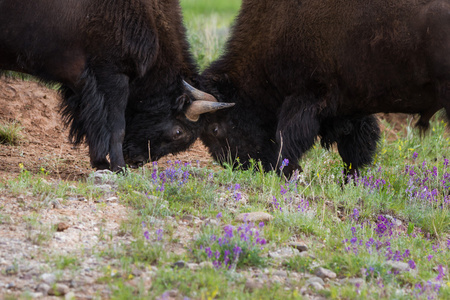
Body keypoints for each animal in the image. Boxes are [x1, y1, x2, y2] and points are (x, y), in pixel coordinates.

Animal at [0, 0, 232, 171]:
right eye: (178, 131)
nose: (136, 161)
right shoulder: (114, 77)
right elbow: (116, 126)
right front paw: (118, 168)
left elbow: (93, 123)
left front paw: (101, 163)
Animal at [200, 0, 450, 177]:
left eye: (215, 128)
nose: (238, 167)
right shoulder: (350, 108)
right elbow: (354, 151)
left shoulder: (307, 97)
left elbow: (287, 139)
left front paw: (288, 171)